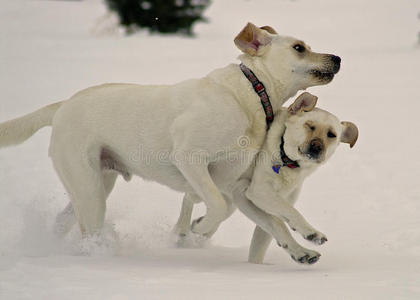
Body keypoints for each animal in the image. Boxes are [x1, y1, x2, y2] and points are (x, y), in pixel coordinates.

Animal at [0, 22, 342, 244]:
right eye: (299, 48)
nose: (337, 58)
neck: (251, 93)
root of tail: (63, 106)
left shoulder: (230, 179)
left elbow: (230, 205)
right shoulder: (191, 158)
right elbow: (217, 205)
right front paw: (199, 229)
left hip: (94, 184)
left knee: (65, 219)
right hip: (90, 190)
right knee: (90, 230)